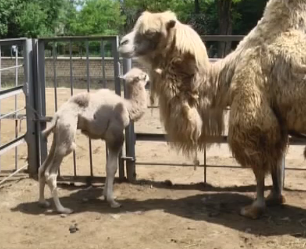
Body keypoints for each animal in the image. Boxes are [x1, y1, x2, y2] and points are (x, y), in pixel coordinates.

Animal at [37, 67, 149, 213]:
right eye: (143, 76)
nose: (149, 77)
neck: (127, 106)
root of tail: (57, 116)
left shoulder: (108, 138)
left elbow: (108, 166)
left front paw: (105, 195)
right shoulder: (116, 135)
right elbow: (112, 167)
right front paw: (112, 201)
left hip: (59, 134)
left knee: (42, 168)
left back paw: (43, 202)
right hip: (68, 132)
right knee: (51, 173)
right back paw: (63, 209)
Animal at [118, 0, 306, 219]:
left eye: (151, 32)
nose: (122, 44)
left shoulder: (252, 110)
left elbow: (258, 164)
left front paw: (254, 208)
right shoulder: (277, 117)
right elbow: (275, 160)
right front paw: (275, 197)